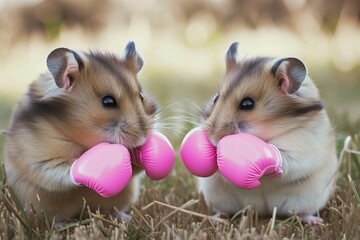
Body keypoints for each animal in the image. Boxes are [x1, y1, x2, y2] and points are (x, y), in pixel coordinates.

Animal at [2, 40, 158, 221]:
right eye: (108, 101)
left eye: (141, 96)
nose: (143, 138)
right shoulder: (40, 161)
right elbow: (65, 169)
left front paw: (144, 156)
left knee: (113, 210)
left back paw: (124, 218)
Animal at [198, 41, 338, 225]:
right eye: (216, 98)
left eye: (247, 104)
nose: (214, 140)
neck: (269, 133)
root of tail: (262, 211)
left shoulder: (302, 149)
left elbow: (283, 159)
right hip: (219, 198)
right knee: (223, 211)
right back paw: (214, 219)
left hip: (308, 200)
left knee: (302, 213)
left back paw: (316, 222)